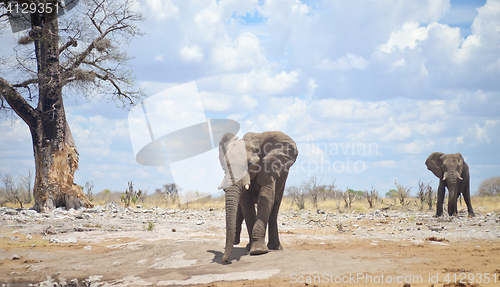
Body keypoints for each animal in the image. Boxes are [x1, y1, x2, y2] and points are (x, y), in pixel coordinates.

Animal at [218, 132, 296, 262]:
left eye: (249, 164)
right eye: (225, 165)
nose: (225, 260)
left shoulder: (269, 167)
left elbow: (265, 199)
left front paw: (258, 251)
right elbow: (246, 204)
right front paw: (252, 248)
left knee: (274, 208)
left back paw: (275, 248)